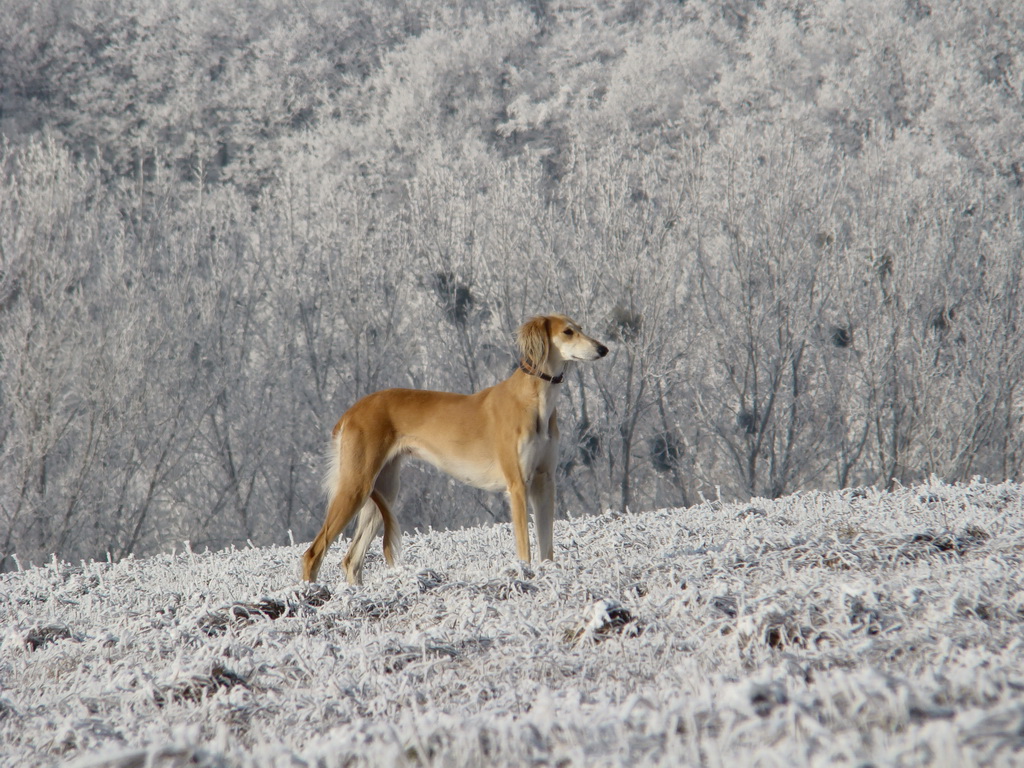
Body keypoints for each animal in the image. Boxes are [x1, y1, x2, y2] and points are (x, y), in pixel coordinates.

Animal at [301, 313, 606, 581]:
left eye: (580, 327)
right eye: (567, 331)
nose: (603, 349)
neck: (535, 401)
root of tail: (351, 412)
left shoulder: (545, 482)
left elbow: (546, 547)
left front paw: (546, 575)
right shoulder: (518, 485)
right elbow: (525, 548)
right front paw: (526, 575)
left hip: (383, 491)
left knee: (352, 560)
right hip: (355, 486)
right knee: (313, 553)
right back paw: (310, 596)